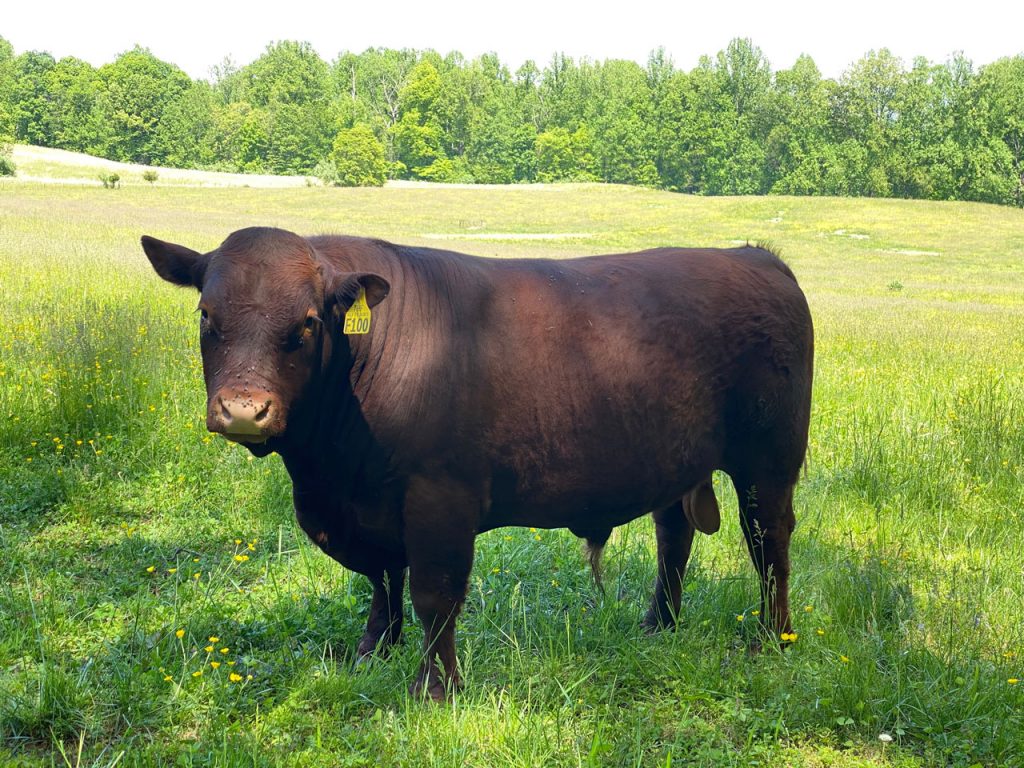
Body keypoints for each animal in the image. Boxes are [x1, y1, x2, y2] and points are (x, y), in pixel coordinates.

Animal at [142, 227, 814, 700]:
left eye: (306, 323)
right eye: (206, 315)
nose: (243, 409)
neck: (327, 471)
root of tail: (757, 257)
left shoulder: (440, 496)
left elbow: (434, 592)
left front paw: (436, 688)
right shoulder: (365, 507)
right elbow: (381, 581)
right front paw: (371, 651)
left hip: (770, 459)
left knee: (769, 540)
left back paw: (771, 638)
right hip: (674, 462)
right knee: (674, 538)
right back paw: (659, 624)